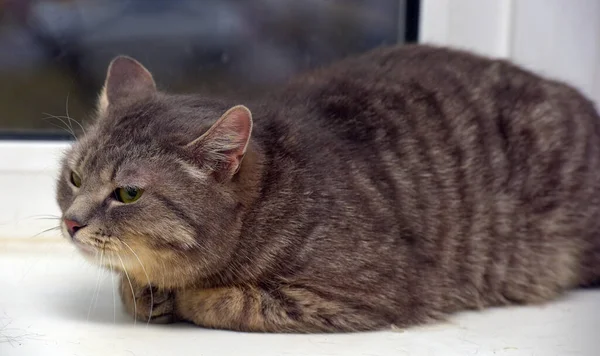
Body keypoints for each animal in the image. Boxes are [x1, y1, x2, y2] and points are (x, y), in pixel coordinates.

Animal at [55, 43, 596, 330]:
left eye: (128, 194)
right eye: (74, 178)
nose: (70, 221)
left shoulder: (364, 294)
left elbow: (228, 300)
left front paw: (182, 297)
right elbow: (132, 286)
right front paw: (146, 291)